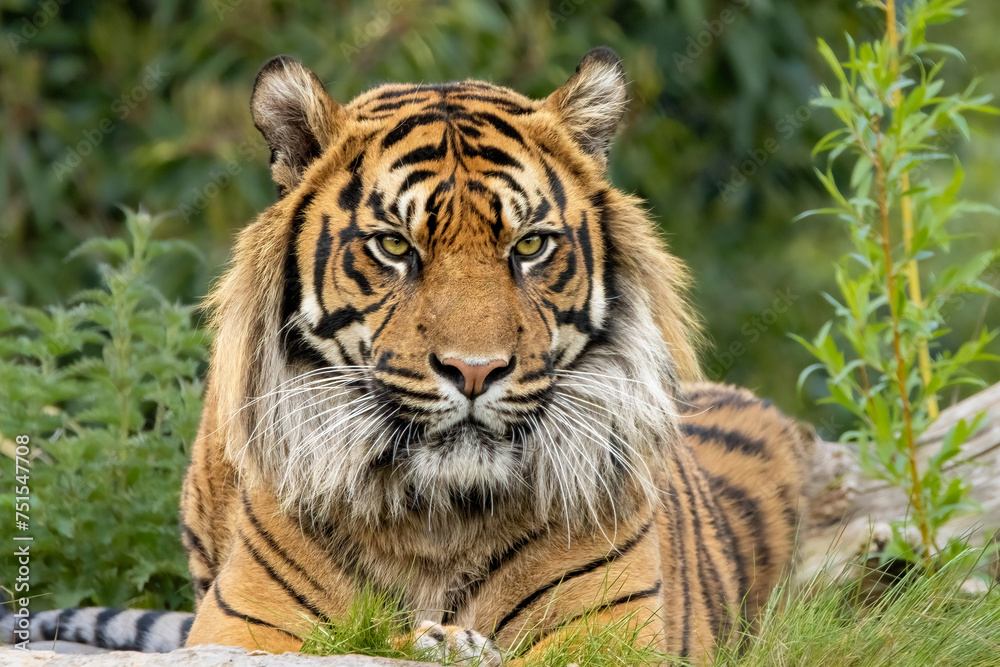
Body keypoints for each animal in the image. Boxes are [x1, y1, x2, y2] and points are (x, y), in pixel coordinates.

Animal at [1, 48, 812, 665]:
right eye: (394, 245)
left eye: (530, 246)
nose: (476, 370)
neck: (439, 519)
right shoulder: (245, 627)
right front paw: (439, 640)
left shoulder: (615, 635)